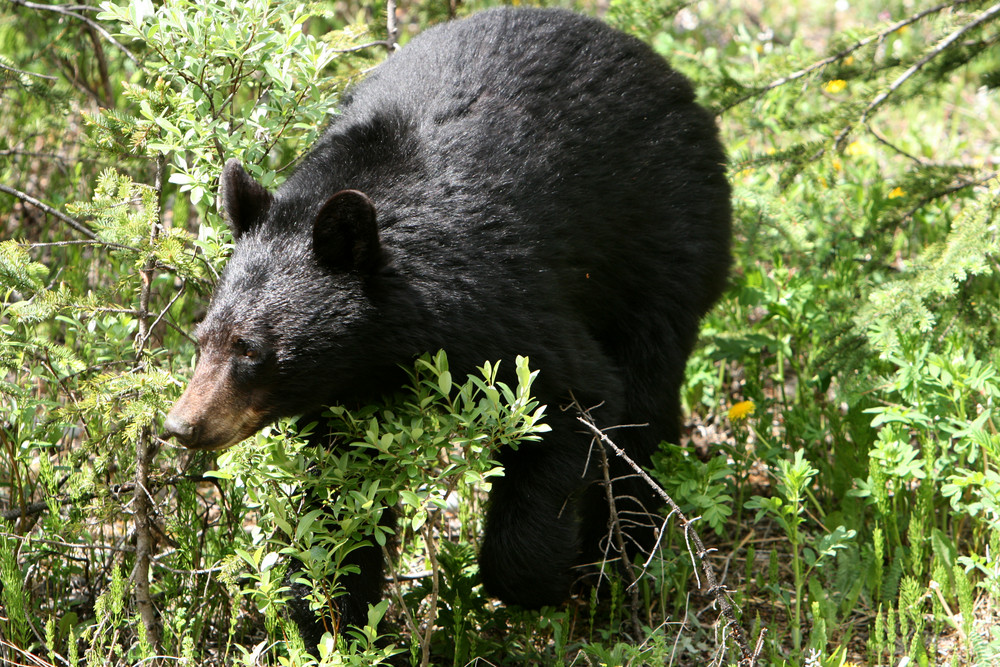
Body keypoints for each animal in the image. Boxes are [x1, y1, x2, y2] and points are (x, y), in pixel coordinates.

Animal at [162, 6, 728, 648]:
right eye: (202, 339)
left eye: (250, 349)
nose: (182, 425)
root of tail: (655, 62)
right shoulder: (340, 399)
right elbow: (339, 498)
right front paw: (338, 621)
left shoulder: (504, 305)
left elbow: (575, 397)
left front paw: (543, 582)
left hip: (666, 245)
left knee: (645, 408)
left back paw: (622, 565)